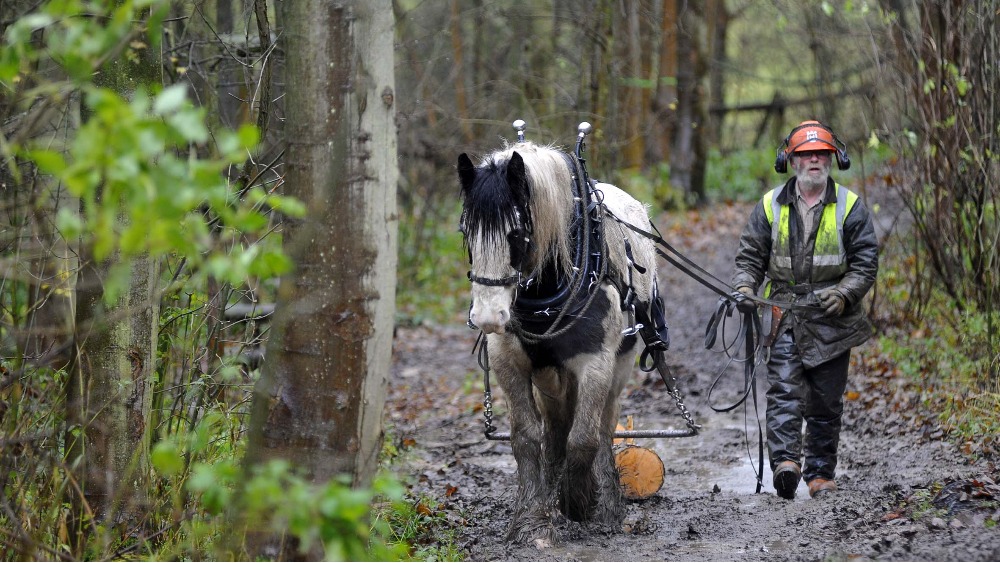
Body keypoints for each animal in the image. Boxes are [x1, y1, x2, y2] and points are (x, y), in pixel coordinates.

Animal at [457, 140, 669, 545]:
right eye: (466, 232)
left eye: (517, 234)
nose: (489, 317)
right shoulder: (508, 361)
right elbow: (526, 438)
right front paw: (532, 518)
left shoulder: (596, 362)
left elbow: (584, 437)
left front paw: (580, 502)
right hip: (549, 377)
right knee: (555, 430)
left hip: (619, 366)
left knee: (603, 426)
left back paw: (606, 500)